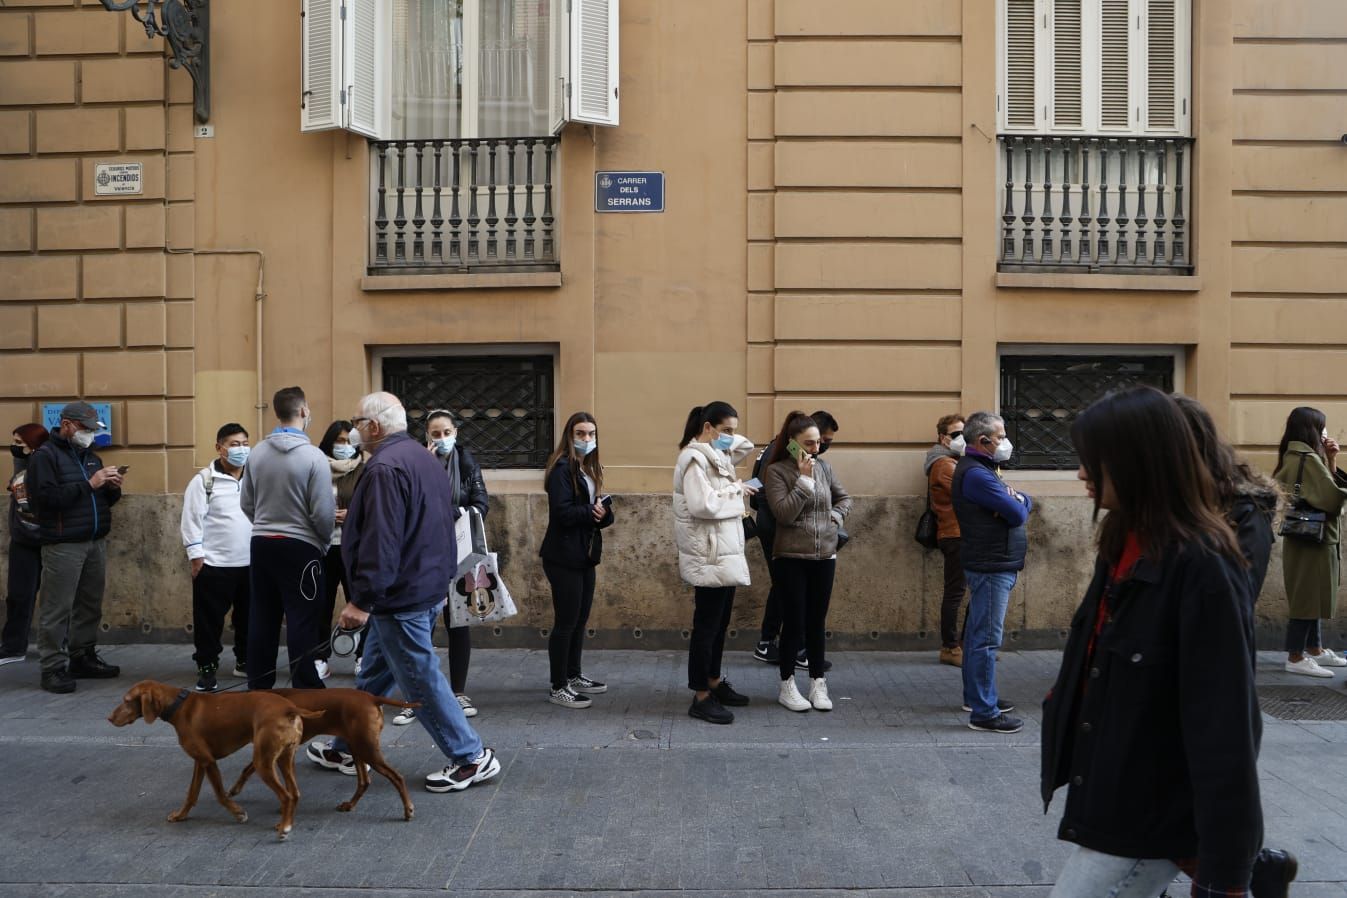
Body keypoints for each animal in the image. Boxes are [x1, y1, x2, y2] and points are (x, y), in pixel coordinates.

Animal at [108, 683, 323, 840]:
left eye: (127, 701)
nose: (109, 718)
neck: (178, 704)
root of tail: (289, 707)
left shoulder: (208, 761)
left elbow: (220, 795)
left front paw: (238, 813)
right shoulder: (200, 761)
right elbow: (191, 794)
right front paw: (180, 816)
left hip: (263, 762)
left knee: (286, 796)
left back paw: (285, 828)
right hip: (284, 759)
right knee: (294, 793)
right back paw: (285, 823)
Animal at [226, 689, 417, 823]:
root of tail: (372, 697)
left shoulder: (273, 752)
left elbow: (251, 770)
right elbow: (248, 769)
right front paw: (235, 789)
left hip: (366, 748)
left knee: (397, 777)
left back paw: (408, 810)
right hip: (356, 746)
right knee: (364, 781)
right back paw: (349, 805)